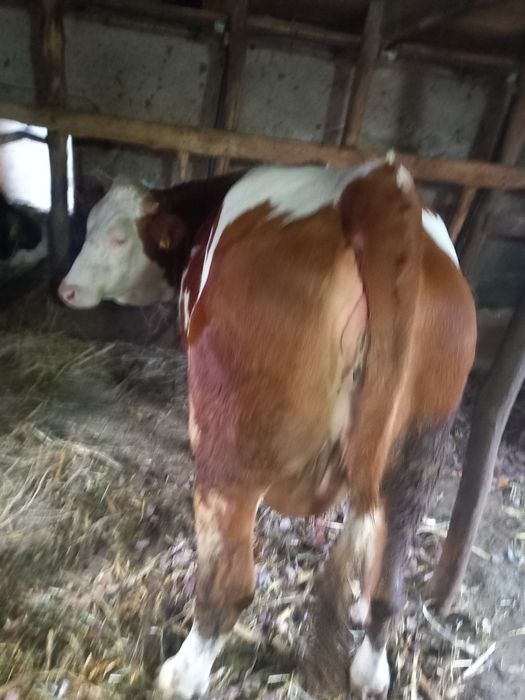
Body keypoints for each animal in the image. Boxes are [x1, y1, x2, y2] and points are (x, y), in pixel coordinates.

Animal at [58, 158, 477, 699]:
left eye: (117, 238)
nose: (66, 290)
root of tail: (374, 185)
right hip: (419, 448)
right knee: (388, 577)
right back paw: (368, 669)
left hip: (231, 444)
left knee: (229, 584)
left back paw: (182, 673)